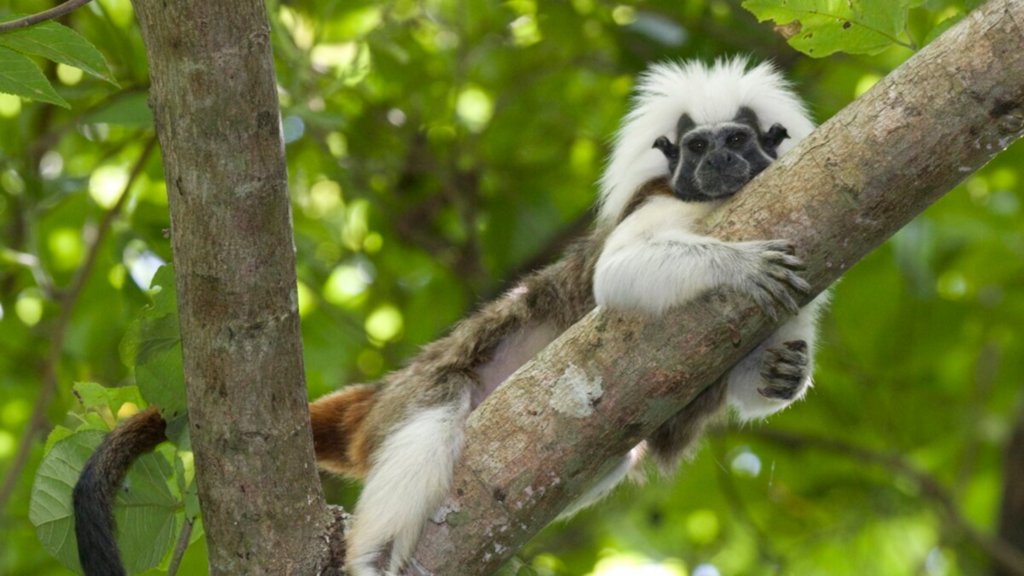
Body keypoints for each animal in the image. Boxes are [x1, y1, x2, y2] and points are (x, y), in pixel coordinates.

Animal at [73, 58, 825, 576]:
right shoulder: (662, 205)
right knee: (430, 424)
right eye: (697, 148)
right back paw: (370, 558)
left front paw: (781, 372)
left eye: (738, 140)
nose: (721, 159)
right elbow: (620, 274)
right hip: (416, 392)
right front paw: (736, 267)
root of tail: (382, 392)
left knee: (607, 453)